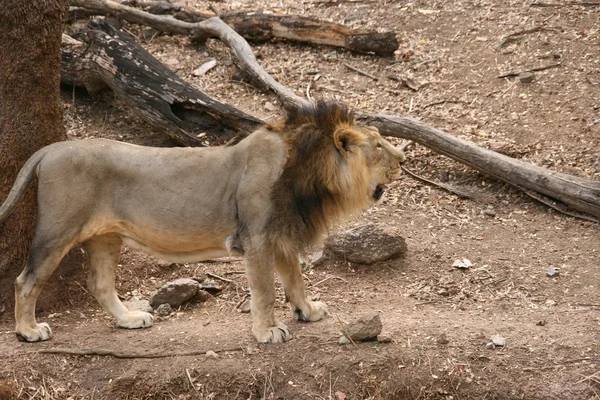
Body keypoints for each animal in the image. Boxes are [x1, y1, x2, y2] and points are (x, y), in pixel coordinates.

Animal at [0, 101, 406, 344]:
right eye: (379, 147)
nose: (403, 159)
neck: (308, 177)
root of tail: (52, 148)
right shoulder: (256, 238)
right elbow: (265, 290)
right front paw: (267, 331)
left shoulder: (279, 233)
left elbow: (294, 279)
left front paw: (308, 312)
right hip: (57, 230)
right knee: (25, 281)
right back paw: (28, 331)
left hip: (105, 237)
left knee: (99, 284)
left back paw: (129, 318)